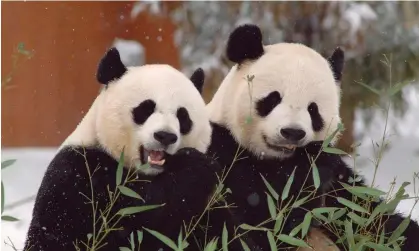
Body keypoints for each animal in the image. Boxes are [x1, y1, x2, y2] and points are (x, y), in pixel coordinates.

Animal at [23, 47, 223, 251]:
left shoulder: (209, 206)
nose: (165, 136)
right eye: (146, 108)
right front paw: (195, 167)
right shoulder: (79, 172)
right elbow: (134, 216)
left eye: (183, 116)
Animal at [202, 24, 418, 251]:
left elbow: (370, 217)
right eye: (273, 99)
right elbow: (267, 218)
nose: (292, 132)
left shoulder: (340, 187)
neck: (274, 160)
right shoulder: (222, 153)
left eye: (313, 110)